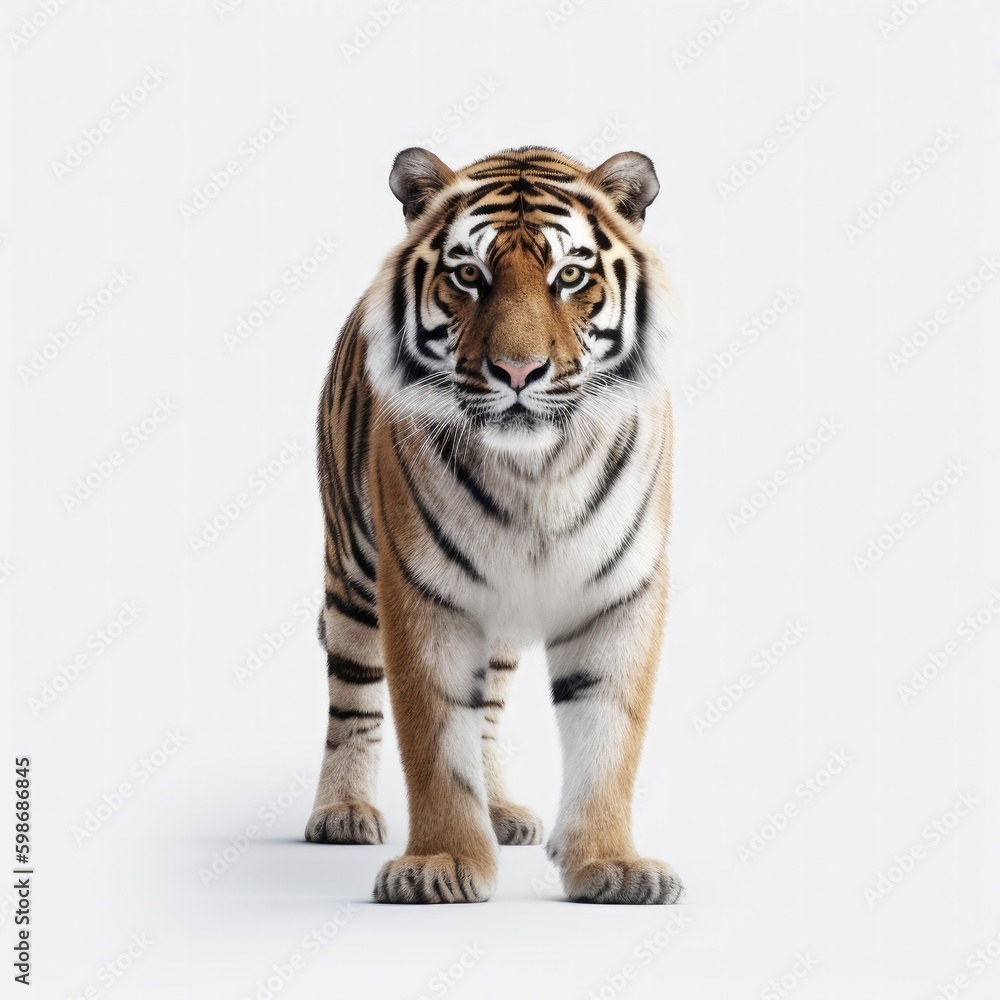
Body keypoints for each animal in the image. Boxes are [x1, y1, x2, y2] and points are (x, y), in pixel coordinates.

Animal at [304, 144, 683, 905]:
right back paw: (342, 812)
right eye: (468, 275)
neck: (537, 472)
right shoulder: (420, 591)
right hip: (351, 572)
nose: (517, 370)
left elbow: (610, 737)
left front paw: (612, 865)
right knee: (352, 698)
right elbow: (433, 740)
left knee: (488, 711)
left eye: (570, 276)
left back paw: (503, 810)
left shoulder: (622, 591)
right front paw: (440, 864)